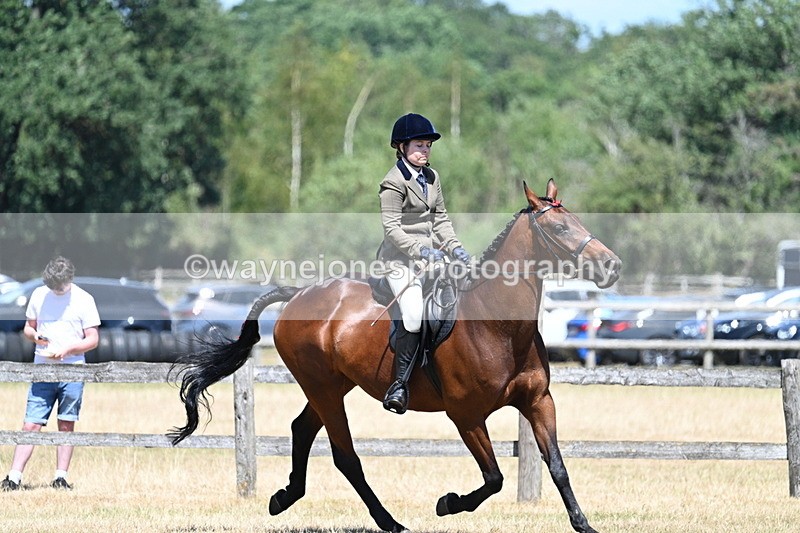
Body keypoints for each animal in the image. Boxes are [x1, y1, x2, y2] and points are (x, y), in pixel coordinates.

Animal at [169, 179, 621, 533]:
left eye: (578, 220)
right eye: (559, 227)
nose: (612, 266)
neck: (499, 326)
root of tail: (297, 294)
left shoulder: (538, 401)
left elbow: (557, 465)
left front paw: (584, 525)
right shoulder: (466, 415)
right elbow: (493, 478)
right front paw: (447, 503)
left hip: (332, 386)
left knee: (302, 429)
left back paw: (284, 498)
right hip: (323, 387)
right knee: (345, 456)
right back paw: (389, 522)